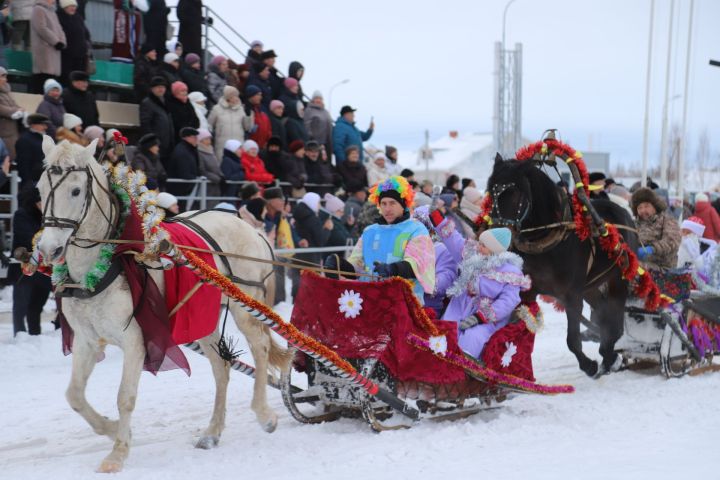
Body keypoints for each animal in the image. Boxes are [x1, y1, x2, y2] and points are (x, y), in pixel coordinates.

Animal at [35, 138, 290, 472]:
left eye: (76, 190)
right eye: (40, 188)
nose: (48, 249)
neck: (106, 263)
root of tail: (250, 227)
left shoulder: (135, 341)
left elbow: (125, 397)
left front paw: (117, 453)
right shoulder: (87, 340)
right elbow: (74, 395)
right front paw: (112, 429)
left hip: (244, 305)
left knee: (260, 348)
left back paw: (263, 413)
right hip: (201, 319)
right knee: (221, 367)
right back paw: (212, 431)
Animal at [490, 156, 636, 376]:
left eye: (514, 193)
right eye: (491, 191)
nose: (493, 233)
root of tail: (624, 212)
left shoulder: (572, 295)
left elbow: (572, 340)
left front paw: (589, 365)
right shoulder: (528, 292)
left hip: (618, 277)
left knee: (615, 320)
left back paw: (608, 352)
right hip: (590, 286)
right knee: (603, 313)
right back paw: (608, 354)